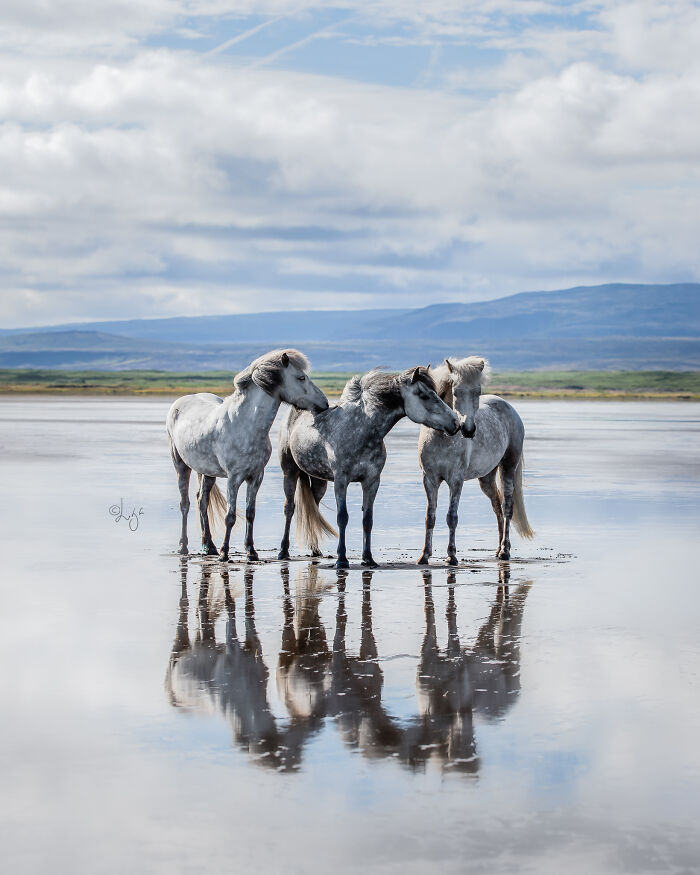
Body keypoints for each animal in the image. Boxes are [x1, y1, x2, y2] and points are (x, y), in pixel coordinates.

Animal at [166, 348, 328, 561]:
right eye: (301, 377)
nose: (324, 404)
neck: (246, 425)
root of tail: (182, 401)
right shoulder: (234, 478)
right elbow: (230, 516)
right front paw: (224, 553)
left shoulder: (256, 477)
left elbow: (250, 512)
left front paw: (251, 551)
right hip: (180, 465)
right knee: (184, 503)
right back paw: (184, 547)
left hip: (208, 473)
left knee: (202, 502)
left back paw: (209, 546)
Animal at [278, 366, 462, 569]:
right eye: (424, 395)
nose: (455, 423)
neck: (362, 429)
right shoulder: (341, 480)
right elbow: (343, 517)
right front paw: (342, 559)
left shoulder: (372, 481)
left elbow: (368, 519)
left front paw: (368, 559)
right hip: (290, 471)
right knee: (289, 508)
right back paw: (283, 551)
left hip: (319, 481)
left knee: (314, 507)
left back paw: (315, 550)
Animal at [417, 356, 534, 565]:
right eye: (455, 392)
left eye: (478, 392)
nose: (468, 430)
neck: (440, 437)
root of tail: (509, 407)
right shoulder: (429, 479)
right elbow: (430, 517)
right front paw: (424, 556)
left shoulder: (456, 480)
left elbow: (451, 517)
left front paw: (451, 556)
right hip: (486, 477)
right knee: (497, 506)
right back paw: (497, 550)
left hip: (508, 467)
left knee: (507, 508)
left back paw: (505, 551)